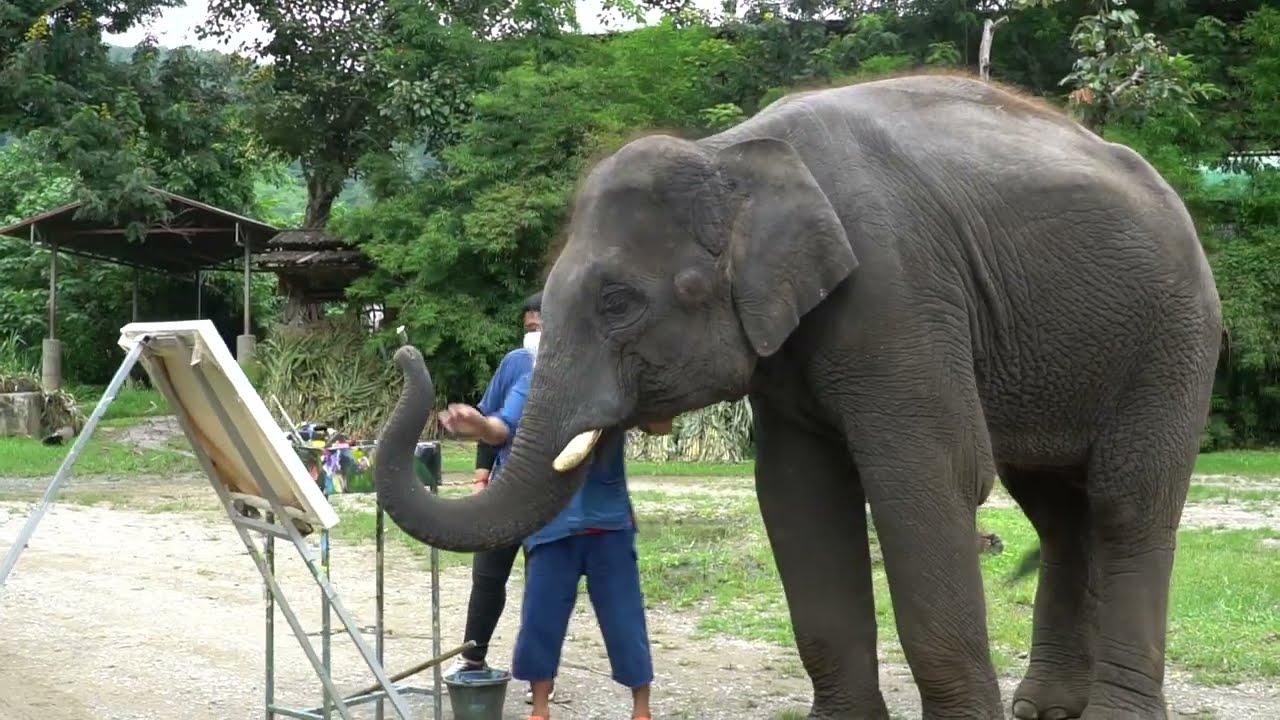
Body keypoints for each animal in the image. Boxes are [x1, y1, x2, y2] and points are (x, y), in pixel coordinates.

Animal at [373, 73, 1222, 720]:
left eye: (618, 303)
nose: (404, 350)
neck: (734, 154)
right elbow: (798, 497)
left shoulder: (899, 295)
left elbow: (930, 479)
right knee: (1057, 512)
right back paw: (1045, 709)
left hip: (1173, 337)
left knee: (1127, 503)